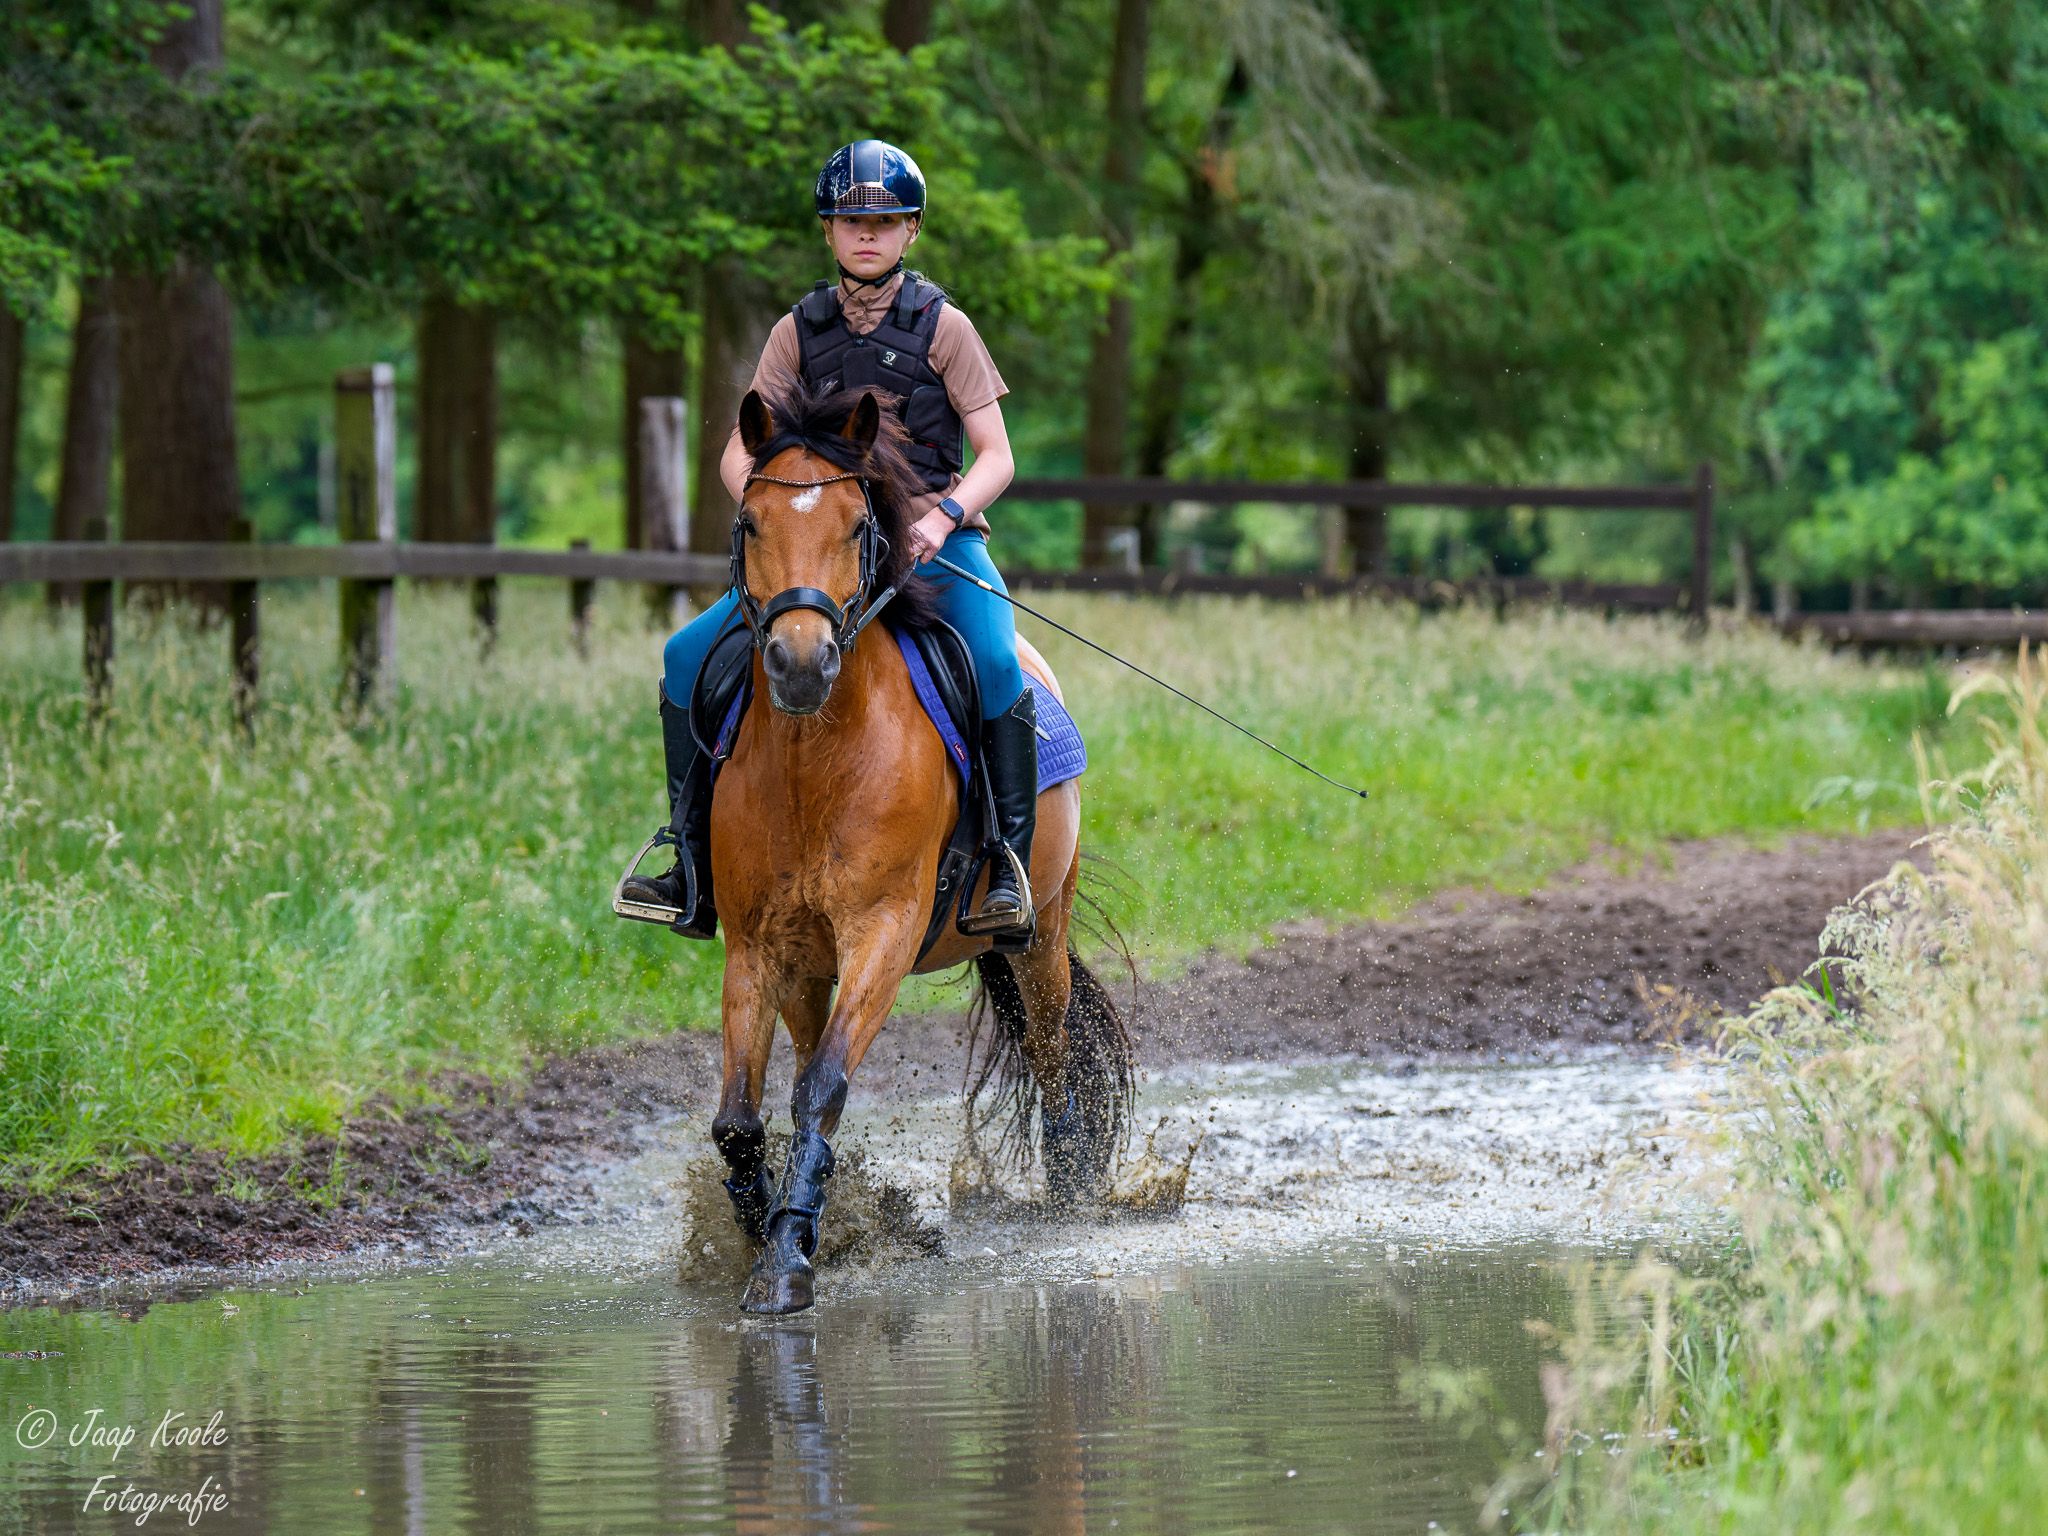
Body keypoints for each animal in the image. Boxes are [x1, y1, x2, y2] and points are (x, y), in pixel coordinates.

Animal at [703, 379, 1133, 1315]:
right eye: (750, 522)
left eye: (856, 527)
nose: (799, 664)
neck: (815, 761)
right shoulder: (757, 943)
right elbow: (742, 1117)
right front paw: (765, 1231)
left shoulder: (885, 929)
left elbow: (824, 1089)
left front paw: (787, 1261)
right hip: (811, 963)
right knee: (802, 1056)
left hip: (1039, 931)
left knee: (1050, 1051)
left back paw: (1072, 1186)